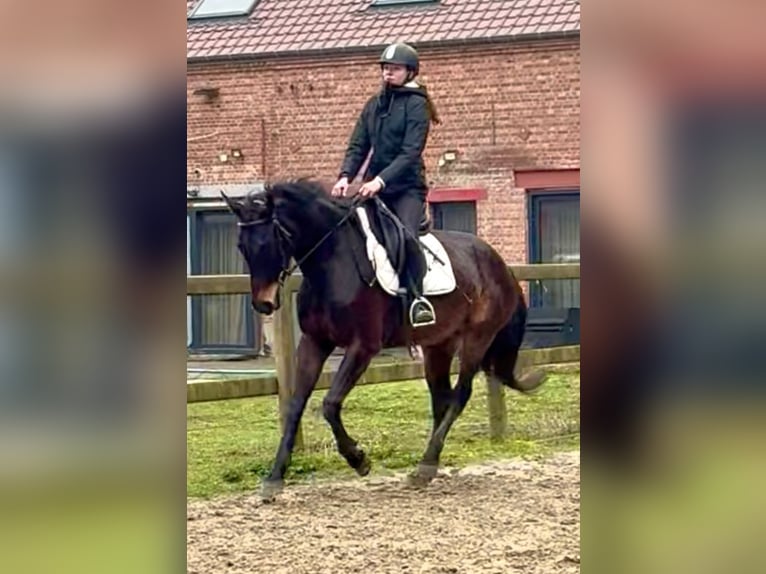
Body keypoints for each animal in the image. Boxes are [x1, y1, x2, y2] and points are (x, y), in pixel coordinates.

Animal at [223, 179, 546, 499]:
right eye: (241, 246)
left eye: (270, 241)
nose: (264, 304)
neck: (332, 262)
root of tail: (501, 265)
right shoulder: (314, 342)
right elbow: (295, 406)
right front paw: (274, 478)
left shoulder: (362, 347)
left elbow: (329, 404)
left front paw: (358, 459)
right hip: (438, 345)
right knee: (441, 399)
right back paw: (429, 465)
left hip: (477, 339)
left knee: (459, 395)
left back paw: (424, 465)